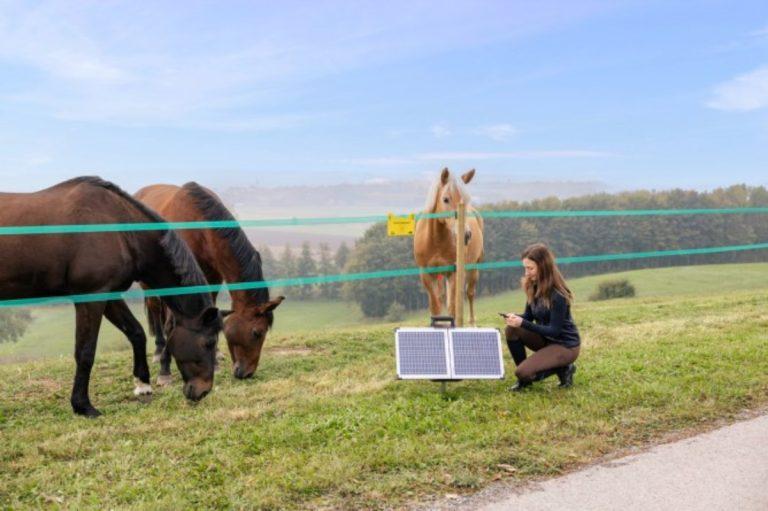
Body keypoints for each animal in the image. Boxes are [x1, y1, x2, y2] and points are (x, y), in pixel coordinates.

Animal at [0, 178, 222, 418]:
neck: (119, 227)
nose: (203, 391)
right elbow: (85, 352)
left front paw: (143, 385)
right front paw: (83, 405)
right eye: (209, 342)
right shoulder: (92, 298)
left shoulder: (110, 295)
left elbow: (136, 333)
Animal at [136, 183, 284, 380]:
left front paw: (213, 361)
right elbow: (170, 324)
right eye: (256, 333)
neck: (198, 227)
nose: (247, 373)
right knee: (155, 308)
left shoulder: (213, 278)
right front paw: (164, 369)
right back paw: (159, 350)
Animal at [416, 169, 484, 328]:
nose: (466, 235)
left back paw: (472, 324)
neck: (436, 241)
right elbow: (435, 306)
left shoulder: (453, 272)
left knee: (470, 293)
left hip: (473, 267)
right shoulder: (427, 274)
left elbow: (452, 307)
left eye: (466, 199)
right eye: (445, 199)